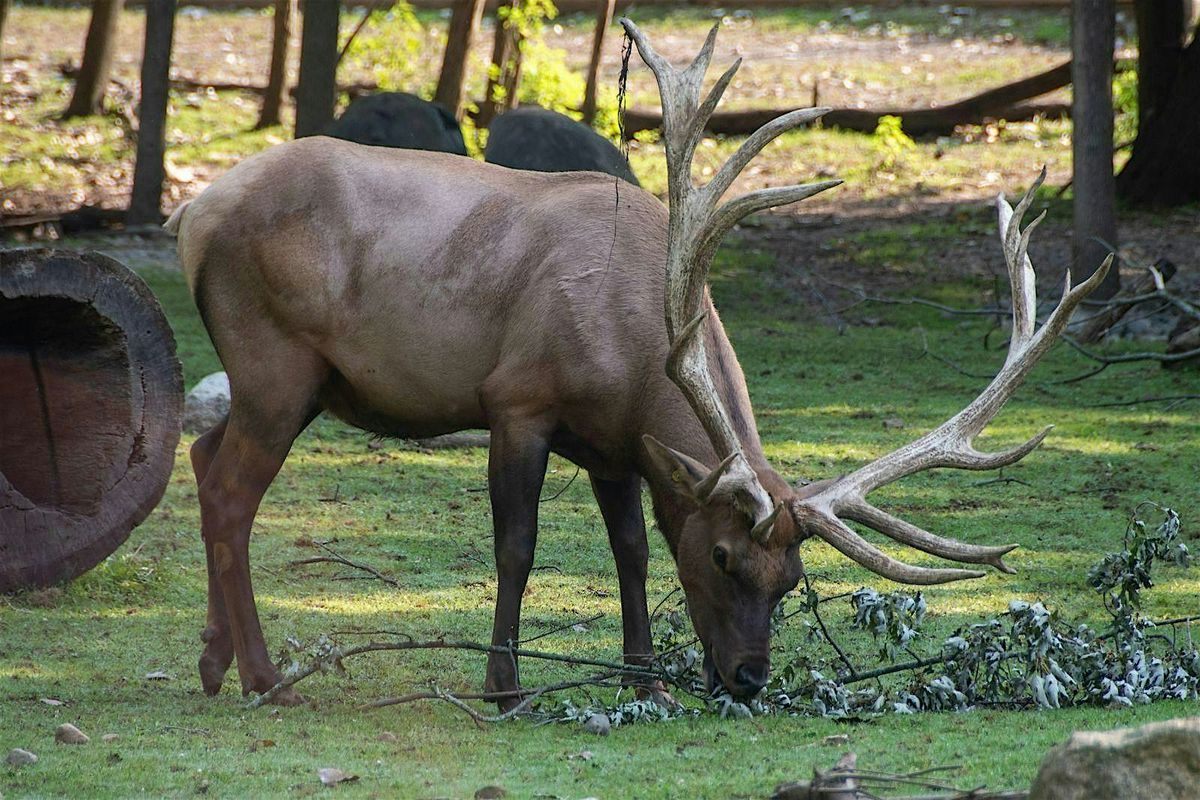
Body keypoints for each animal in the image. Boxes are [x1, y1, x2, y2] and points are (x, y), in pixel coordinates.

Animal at [169, 20, 1104, 705]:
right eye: (725, 558)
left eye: (794, 578)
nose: (747, 679)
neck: (636, 356)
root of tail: (191, 216)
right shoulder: (519, 401)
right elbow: (518, 546)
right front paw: (506, 684)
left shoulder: (614, 445)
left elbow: (631, 551)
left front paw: (646, 678)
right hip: (275, 363)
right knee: (230, 493)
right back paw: (264, 678)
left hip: (286, 382)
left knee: (203, 457)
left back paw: (215, 663)